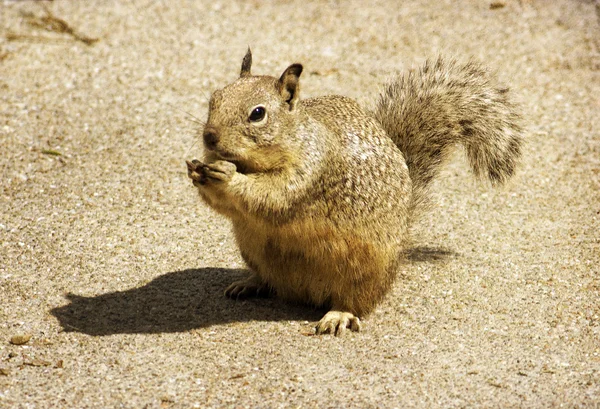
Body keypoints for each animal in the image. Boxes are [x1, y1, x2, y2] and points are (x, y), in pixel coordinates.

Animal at [186, 48, 520, 334]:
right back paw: (250, 283)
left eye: (258, 114)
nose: (209, 136)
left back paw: (338, 314)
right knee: (270, 280)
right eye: (214, 98)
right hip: (252, 249)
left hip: (363, 270)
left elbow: (273, 196)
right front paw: (197, 171)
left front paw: (227, 177)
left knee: (356, 300)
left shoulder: (312, 171)